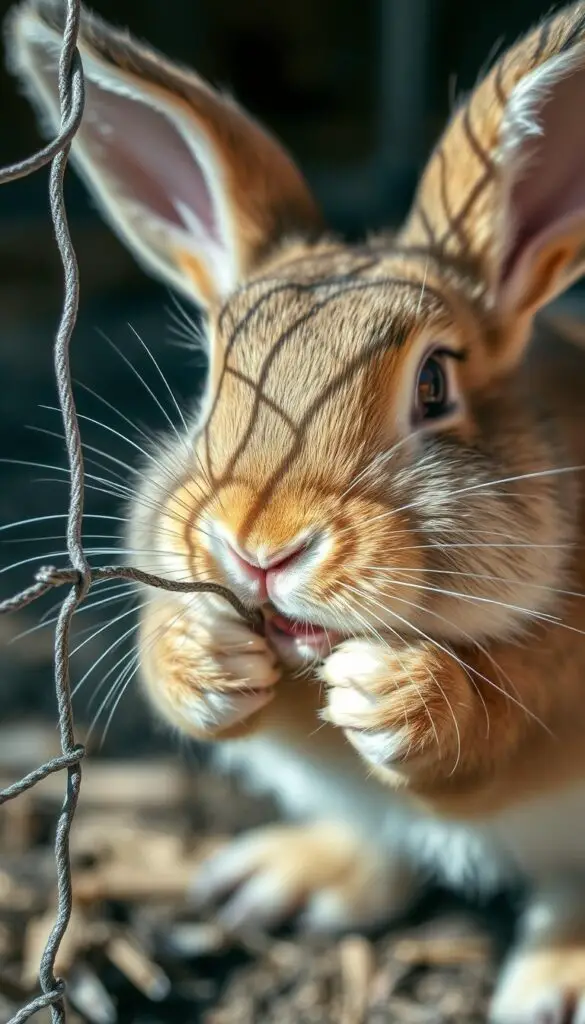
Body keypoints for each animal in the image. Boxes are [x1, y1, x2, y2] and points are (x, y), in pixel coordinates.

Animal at [9, 0, 585, 1018]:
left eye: (434, 384)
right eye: (212, 381)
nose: (259, 550)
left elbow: (495, 724)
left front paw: (393, 690)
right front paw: (207, 657)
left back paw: (554, 982)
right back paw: (276, 880)